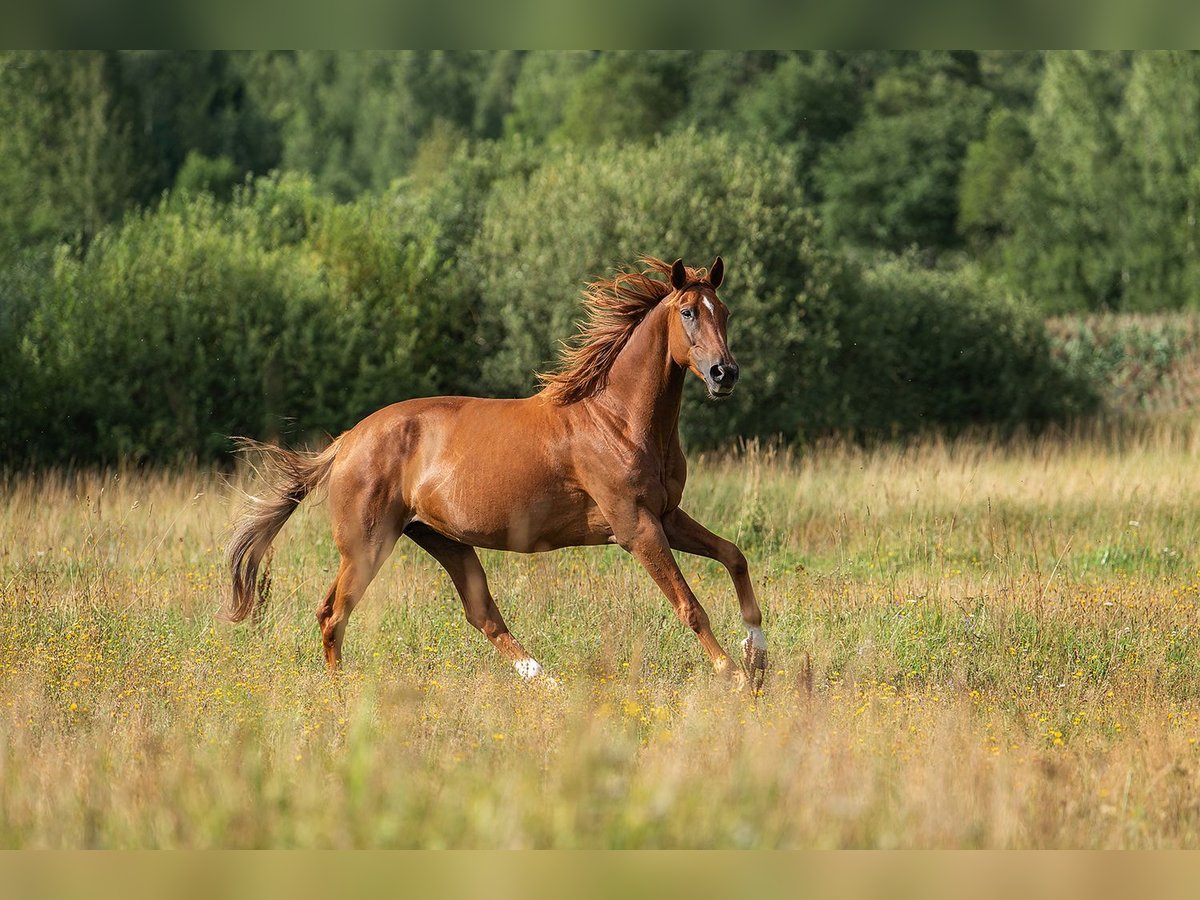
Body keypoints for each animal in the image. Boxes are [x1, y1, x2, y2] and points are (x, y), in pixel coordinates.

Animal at [225, 256, 768, 696]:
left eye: (725, 311)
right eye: (688, 312)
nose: (725, 374)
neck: (616, 418)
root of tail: (345, 443)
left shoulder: (668, 516)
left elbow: (734, 557)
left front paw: (757, 657)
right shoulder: (636, 527)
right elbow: (689, 605)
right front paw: (734, 675)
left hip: (442, 540)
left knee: (482, 614)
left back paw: (547, 682)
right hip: (367, 545)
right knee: (333, 614)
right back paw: (341, 697)